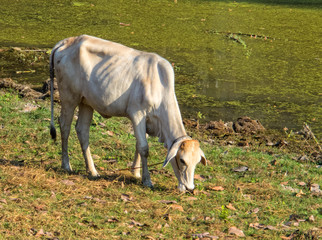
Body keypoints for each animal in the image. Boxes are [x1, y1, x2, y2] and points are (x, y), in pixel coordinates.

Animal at [50, 34, 206, 191]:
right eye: (182, 160)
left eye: (197, 162)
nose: (190, 188)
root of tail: (68, 41)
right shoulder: (137, 114)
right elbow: (144, 148)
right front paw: (147, 180)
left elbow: (139, 145)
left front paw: (136, 173)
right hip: (69, 97)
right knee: (65, 126)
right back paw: (66, 165)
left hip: (86, 102)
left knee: (82, 130)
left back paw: (92, 171)